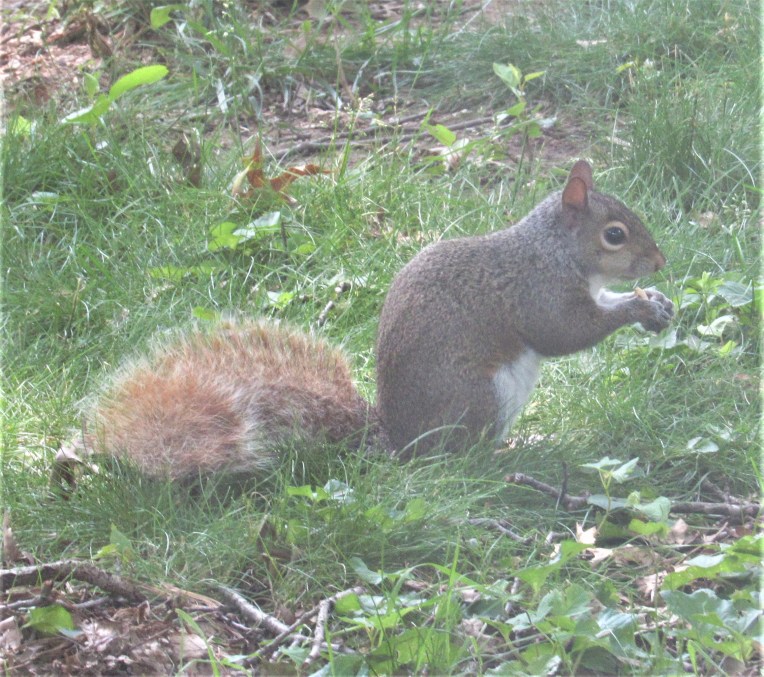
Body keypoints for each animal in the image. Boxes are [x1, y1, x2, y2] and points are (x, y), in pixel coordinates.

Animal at [54, 161, 674, 482]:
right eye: (614, 234)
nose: (661, 261)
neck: (554, 250)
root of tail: (398, 443)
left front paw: (657, 300)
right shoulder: (535, 291)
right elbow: (564, 332)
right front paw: (638, 306)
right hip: (481, 397)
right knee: (461, 459)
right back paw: (510, 455)